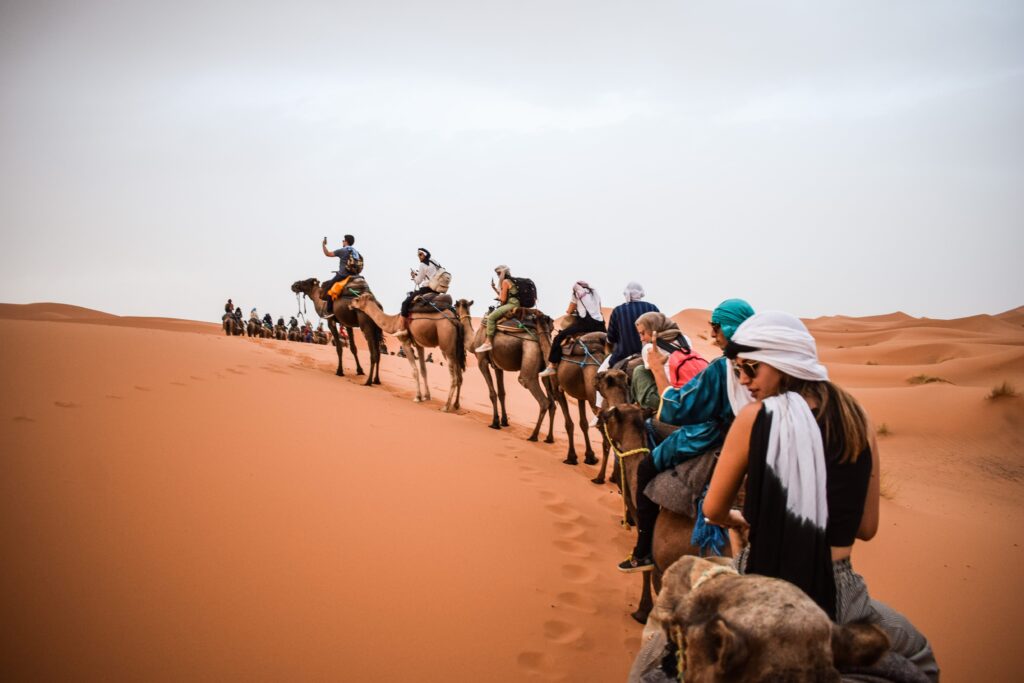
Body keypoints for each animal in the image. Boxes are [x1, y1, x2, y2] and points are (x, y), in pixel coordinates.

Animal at [466, 305, 557, 444]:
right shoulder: (498, 366)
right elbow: (501, 393)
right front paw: (504, 421)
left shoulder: (481, 361)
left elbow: (492, 394)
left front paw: (495, 422)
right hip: (546, 366)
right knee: (552, 403)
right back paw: (549, 438)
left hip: (530, 352)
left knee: (541, 398)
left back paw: (533, 436)